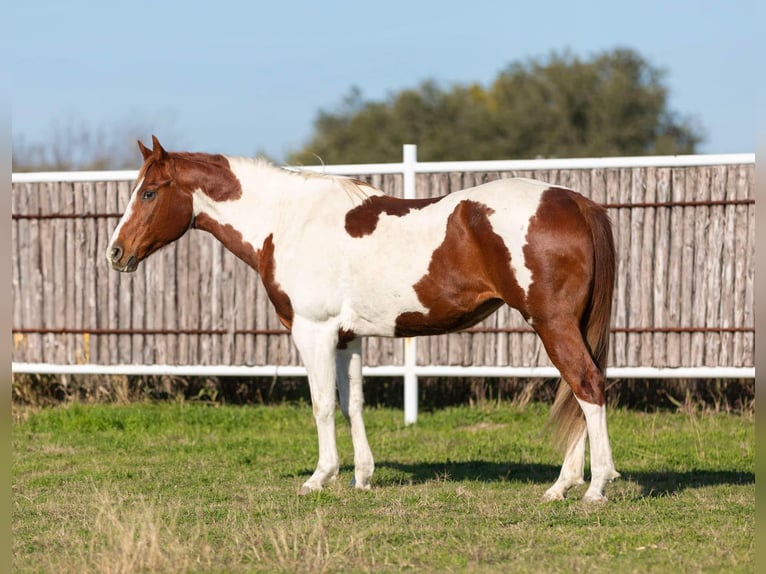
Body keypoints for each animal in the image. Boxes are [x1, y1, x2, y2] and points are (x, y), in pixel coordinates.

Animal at [107, 136, 620, 502]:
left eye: (148, 192)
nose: (115, 252)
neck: (288, 220)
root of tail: (576, 201)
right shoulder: (346, 337)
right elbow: (352, 403)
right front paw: (363, 477)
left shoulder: (312, 331)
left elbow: (321, 404)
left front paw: (320, 477)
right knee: (578, 392)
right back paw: (562, 486)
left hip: (553, 324)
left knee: (586, 385)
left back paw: (594, 487)